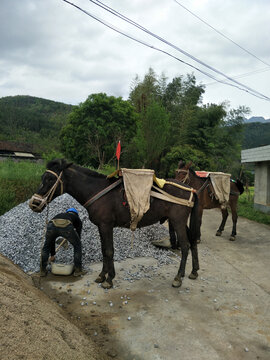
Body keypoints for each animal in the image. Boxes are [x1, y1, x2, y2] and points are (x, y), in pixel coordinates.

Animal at [29, 160, 200, 290]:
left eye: (50, 180)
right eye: (43, 177)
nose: (34, 203)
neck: (96, 190)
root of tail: (191, 189)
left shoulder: (106, 225)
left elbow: (109, 251)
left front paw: (109, 279)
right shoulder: (101, 226)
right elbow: (104, 250)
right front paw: (102, 275)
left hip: (177, 221)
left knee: (185, 246)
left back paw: (178, 277)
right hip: (179, 222)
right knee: (192, 242)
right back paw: (194, 271)